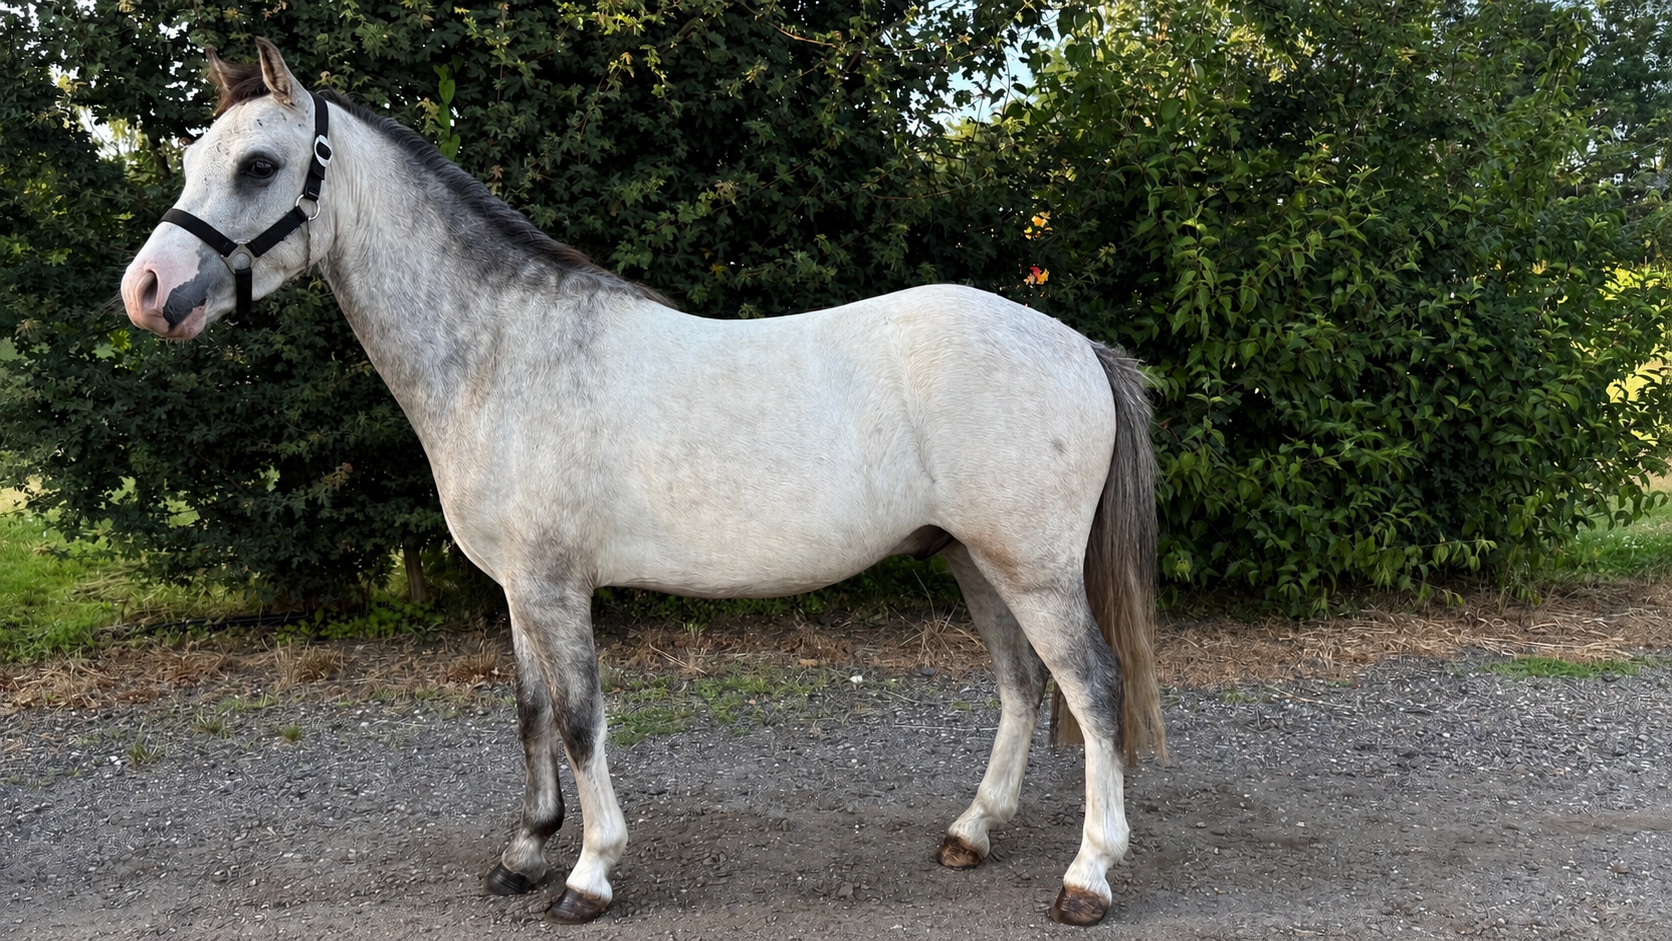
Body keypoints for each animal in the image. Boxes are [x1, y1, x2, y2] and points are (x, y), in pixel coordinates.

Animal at [119, 39, 1166, 927]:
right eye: (193, 157)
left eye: (259, 166)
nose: (145, 291)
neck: (503, 353)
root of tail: (1077, 344)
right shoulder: (520, 588)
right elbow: (532, 711)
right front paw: (524, 852)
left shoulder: (556, 586)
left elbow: (583, 720)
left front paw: (587, 873)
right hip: (971, 560)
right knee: (1023, 686)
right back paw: (971, 832)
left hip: (1031, 569)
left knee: (1094, 689)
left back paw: (1088, 877)